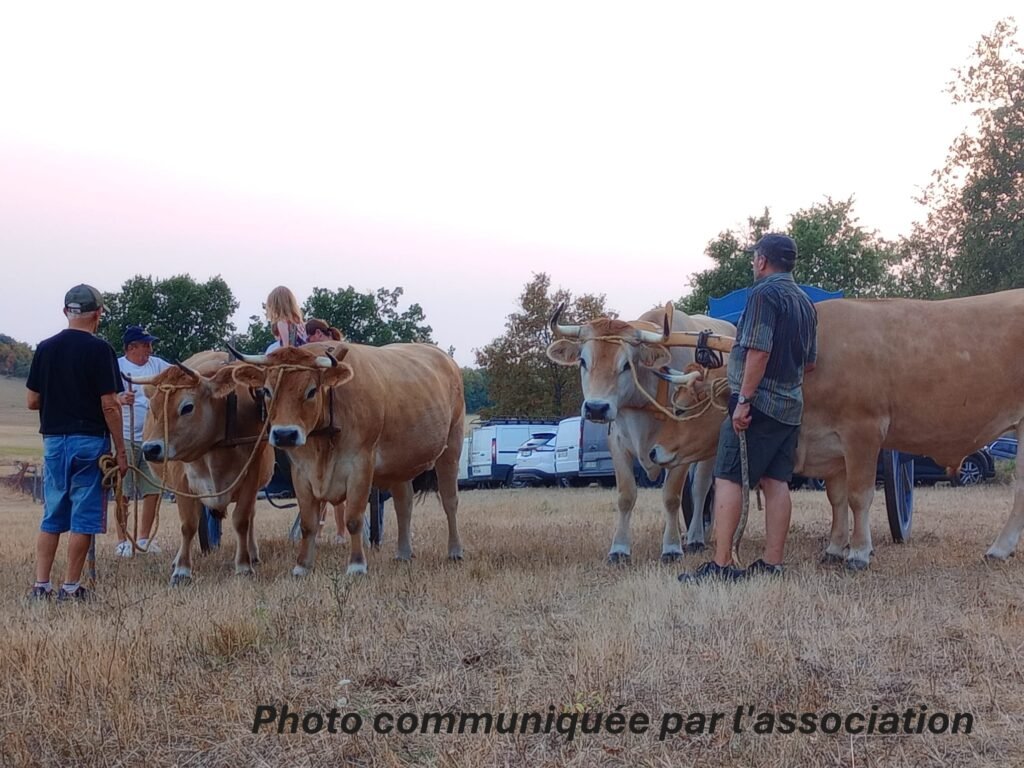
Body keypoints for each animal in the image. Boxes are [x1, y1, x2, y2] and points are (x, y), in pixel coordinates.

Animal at [135, 351, 275, 585]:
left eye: (187, 407)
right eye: (153, 408)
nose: (150, 449)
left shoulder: (251, 475)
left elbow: (242, 520)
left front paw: (244, 565)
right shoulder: (182, 480)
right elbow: (188, 524)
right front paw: (182, 569)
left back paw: (253, 553)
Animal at [228, 341, 465, 577]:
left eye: (311, 391)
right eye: (267, 391)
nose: (285, 434)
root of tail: (443, 356)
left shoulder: (361, 465)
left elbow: (353, 519)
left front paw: (356, 565)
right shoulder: (301, 471)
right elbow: (308, 523)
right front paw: (302, 565)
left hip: (452, 445)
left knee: (450, 500)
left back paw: (455, 551)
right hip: (400, 463)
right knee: (404, 504)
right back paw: (404, 553)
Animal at [545, 304, 736, 563]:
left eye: (627, 364)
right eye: (583, 361)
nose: (596, 408)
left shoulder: (680, 448)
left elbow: (671, 496)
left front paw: (672, 547)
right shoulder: (617, 444)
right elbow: (626, 496)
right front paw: (619, 549)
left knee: (701, 488)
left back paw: (696, 537)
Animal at [649, 290, 1024, 569]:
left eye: (681, 409)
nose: (654, 452)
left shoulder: (863, 433)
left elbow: (859, 496)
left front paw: (858, 552)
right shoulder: (832, 446)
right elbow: (837, 498)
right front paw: (834, 547)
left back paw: (999, 548)